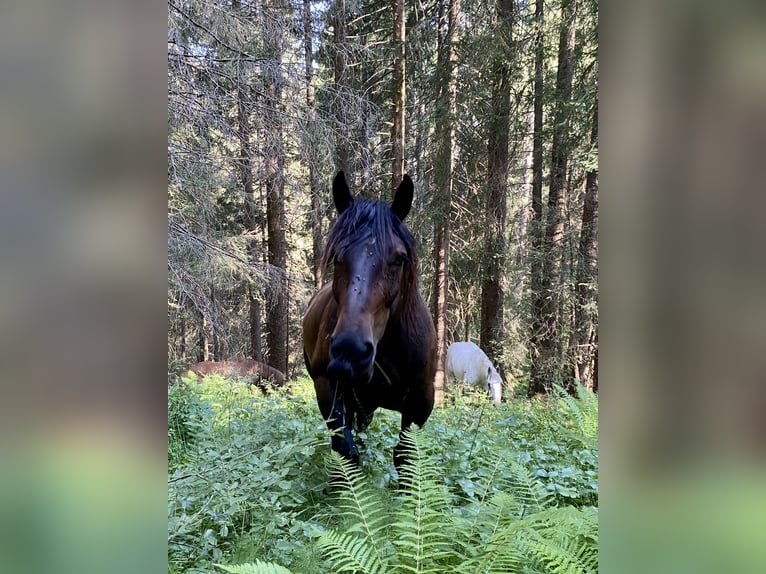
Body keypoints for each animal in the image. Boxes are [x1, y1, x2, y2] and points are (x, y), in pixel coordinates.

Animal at [303, 172, 436, 472]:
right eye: (337, 256)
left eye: (399, 258)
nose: (349, 352)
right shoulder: (328, 388)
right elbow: (345, 451)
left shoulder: (420, 403)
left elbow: (405, 456)